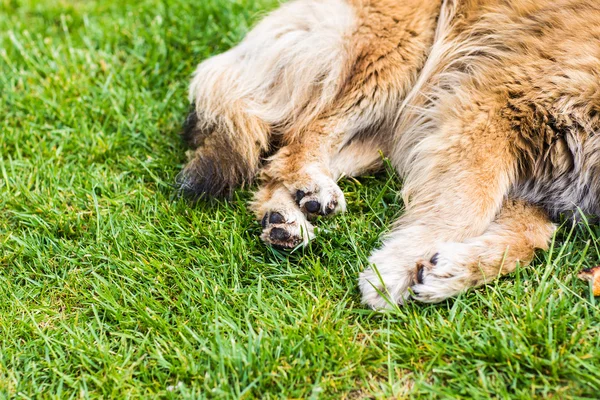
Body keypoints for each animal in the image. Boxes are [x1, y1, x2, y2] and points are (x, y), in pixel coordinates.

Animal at [176, 0, 600, 310]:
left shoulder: (539, 178)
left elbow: (528, 240)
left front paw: (447, 273)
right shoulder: (494, 103)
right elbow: (466, 205)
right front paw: (396, 271)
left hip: (392, 125)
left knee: (277, 164)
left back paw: (286, 217)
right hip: (396, 57)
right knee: (301, 136)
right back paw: (310, 187)